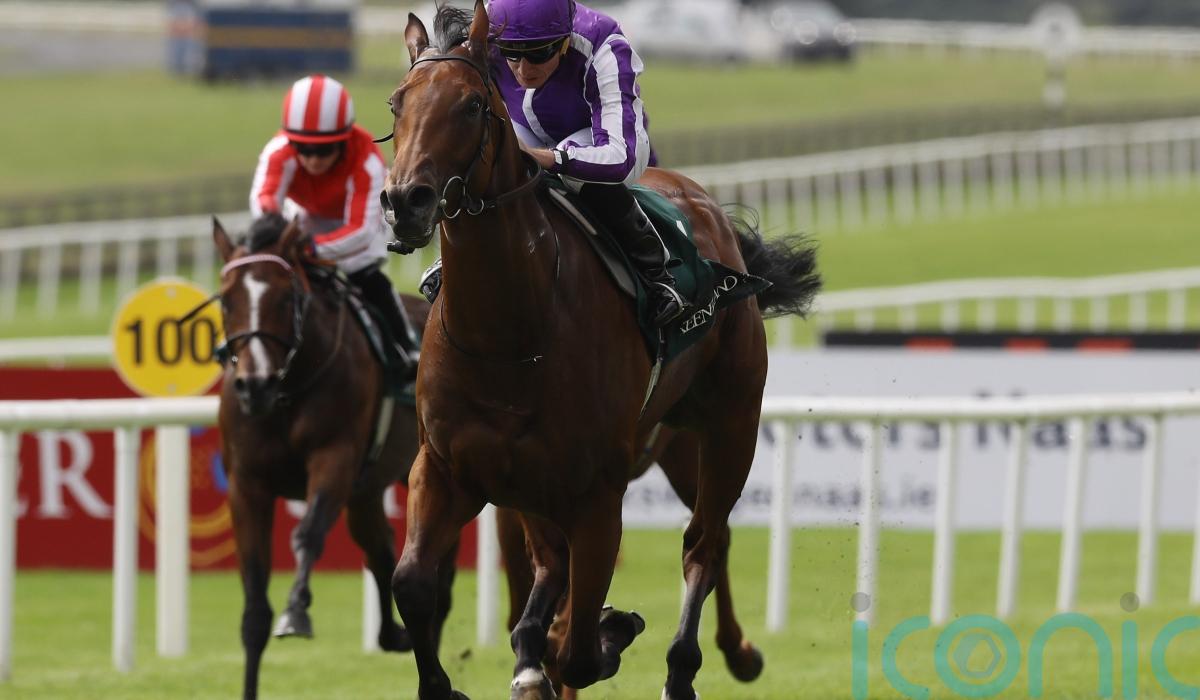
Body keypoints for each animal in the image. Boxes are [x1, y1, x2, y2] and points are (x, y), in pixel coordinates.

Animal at [211, 214, 447, 700]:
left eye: (285, 297)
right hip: (367, 491)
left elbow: (308, 534)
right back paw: (394, 635)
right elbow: (254, 608)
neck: (288, 390)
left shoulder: (333, 460)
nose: (255, 385)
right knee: (380, 551)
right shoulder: (246, 485)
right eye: (226, 300)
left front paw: (296, 611)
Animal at [380, 4, 820, 700]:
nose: (405, 203)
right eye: (398, 103)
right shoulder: (449, 467)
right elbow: (414, 583)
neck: (510, 335)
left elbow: (581, 650)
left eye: (473, 105)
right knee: (552, 567)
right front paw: (459, 678)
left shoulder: (597, 496)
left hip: (727, 425)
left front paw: (604, 633)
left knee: (705, 542)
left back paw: (697, 663)